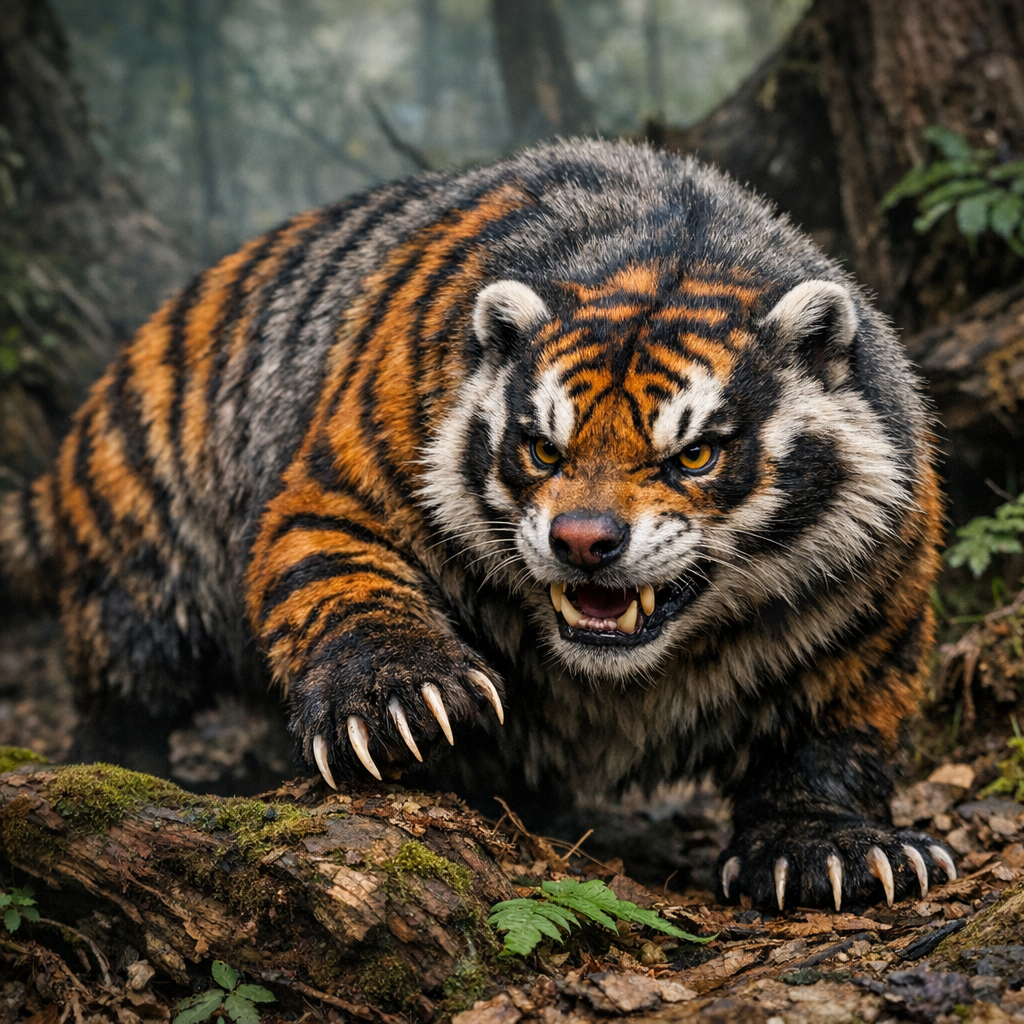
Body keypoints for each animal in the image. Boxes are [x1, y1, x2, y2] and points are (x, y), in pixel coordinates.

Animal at [0, 139, 955, 910]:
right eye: (541, 448)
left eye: (693, 456)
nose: (583, 541)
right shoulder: (339, 493)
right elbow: (346, 591)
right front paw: (399, 703)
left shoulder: (875, 606)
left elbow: (832, 738)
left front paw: (828, 847)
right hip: (142, 585)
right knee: (122, 696)